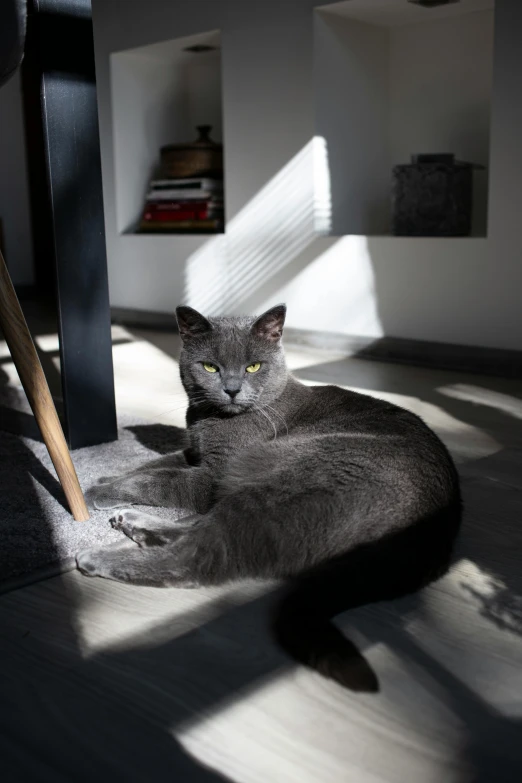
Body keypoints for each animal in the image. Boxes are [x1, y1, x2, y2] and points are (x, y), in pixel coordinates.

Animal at [76, 304, 460, 688]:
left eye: (254, 367)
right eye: (210, 367)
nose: (232, 389)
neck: (206, 420)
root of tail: (439, 536)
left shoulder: (214, 475)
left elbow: (158, 479)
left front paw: (96, 492)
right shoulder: (195, 454)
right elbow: (153, 463)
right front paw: (105, 477)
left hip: (280, 483)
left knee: (197, 557)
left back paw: (98, 556)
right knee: (202, 529)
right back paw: (132, 523)